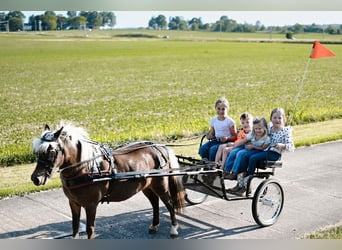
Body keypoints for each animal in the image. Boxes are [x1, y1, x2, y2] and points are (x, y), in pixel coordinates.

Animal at [30, 122, 186, 239]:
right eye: (36, 152)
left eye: (51, 151)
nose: (35, 178)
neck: (86, 168)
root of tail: (159, 147)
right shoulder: (73, 203)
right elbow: (75, 228)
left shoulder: (91, 205)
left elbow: (90, 229)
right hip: (146, 186)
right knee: (154, 202)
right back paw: (154, 225)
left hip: (161, 185)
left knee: (169, 203)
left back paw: (173, 229)